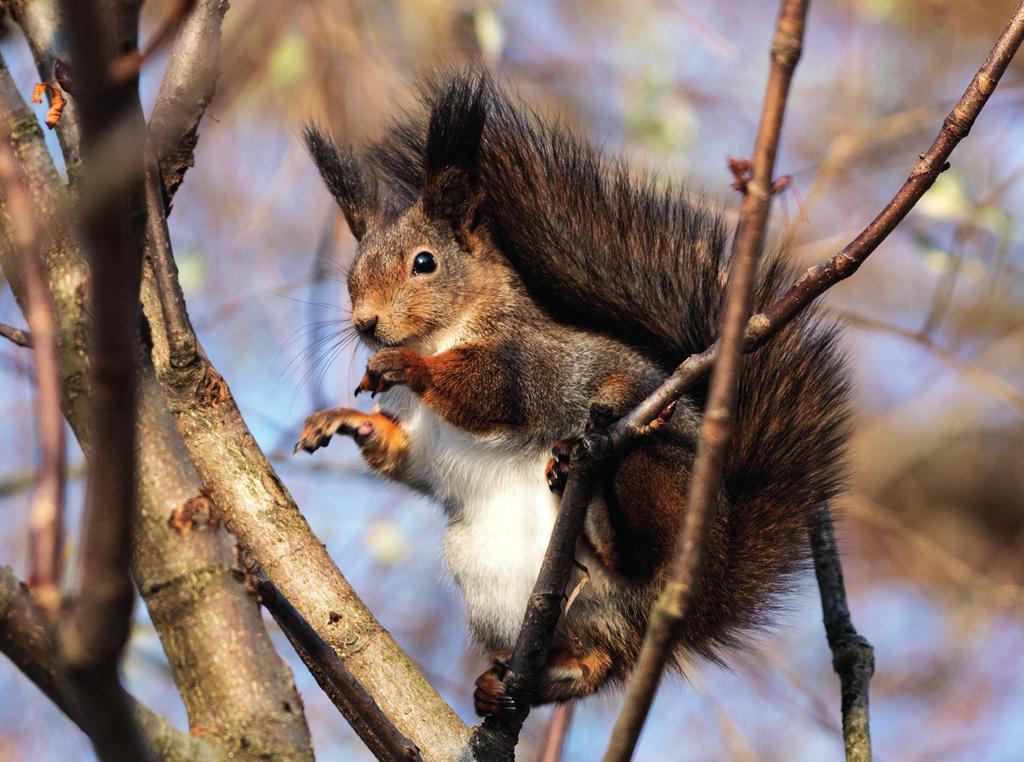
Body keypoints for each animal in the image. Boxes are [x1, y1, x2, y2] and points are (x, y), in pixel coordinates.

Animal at [294, 71, 847, 712]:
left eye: (424, 263)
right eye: (350, 275)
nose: (365, 325)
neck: (445, 332)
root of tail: (695, 604)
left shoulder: (533, 363)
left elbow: (493, 392)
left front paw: (404, 364)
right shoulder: (421, 441)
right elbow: (402, 454)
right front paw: (340, 419)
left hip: (660, 474)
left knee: (637, 553)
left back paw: (599, 515)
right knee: (596, 665)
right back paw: (511, 683)